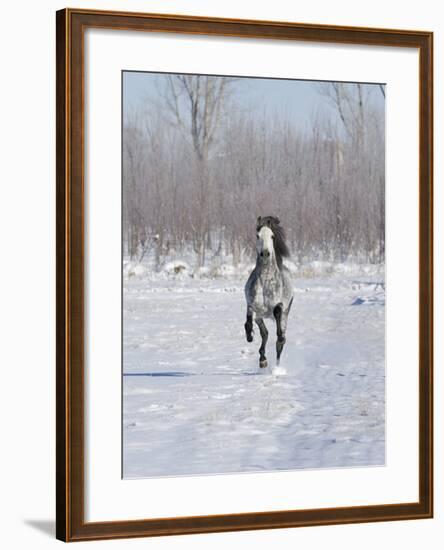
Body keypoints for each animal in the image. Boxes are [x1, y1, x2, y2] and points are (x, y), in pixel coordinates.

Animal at [245, 217, 294, 370]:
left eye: (272, 236)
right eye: (257, 236)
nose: (265, 253)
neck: (265, 281)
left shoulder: (279, 305)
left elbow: (277, 313)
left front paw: (280, 337)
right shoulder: (253, 306)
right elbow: (248, 321)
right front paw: (249, 336)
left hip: (286, 315)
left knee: (280, 342)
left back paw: (277, 366)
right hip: (260, 317)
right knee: (265, 334)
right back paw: (263, 360)